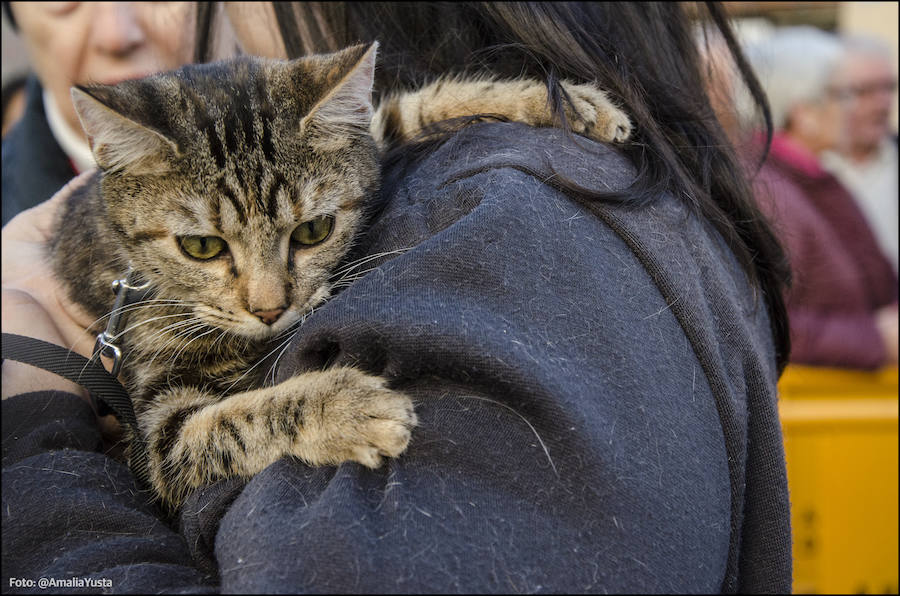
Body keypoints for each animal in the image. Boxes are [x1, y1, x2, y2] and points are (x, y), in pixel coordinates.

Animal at [49, 42, 632, 508]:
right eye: (201, 246)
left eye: (314, 230)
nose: (270, 309)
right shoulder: (154, 429)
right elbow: (231, 422)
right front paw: (345, 408)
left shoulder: (370, 138)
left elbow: (407, 107)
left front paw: (562, 103)